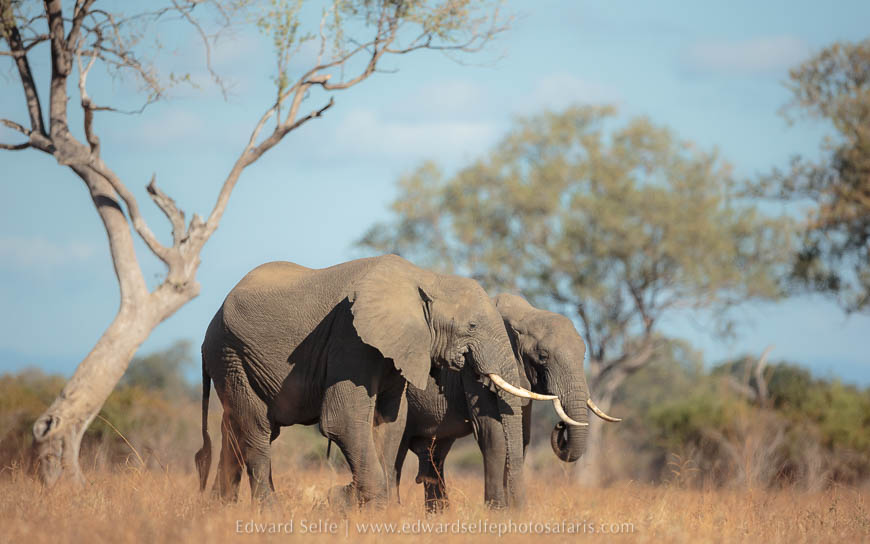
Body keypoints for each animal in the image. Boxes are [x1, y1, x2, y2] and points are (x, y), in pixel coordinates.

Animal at [194, 255, 537, 507]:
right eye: (472, 325)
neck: (424, 277)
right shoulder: (350, 337)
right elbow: (343, 420)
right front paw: (354, 502)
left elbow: (389, 423)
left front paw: (363, 504)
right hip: (230, 354)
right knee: (257, 430)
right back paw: (269, 513)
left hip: (233, 360)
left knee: (235, 431)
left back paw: (218, 511)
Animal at [392, 293, 620, 511]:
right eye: (543, 355)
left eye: (584, 358)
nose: (560, 425)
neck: (525, 314)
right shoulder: (473, 368)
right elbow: (492, 431)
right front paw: (499, 512)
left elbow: (522, 435)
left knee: (435, 456)